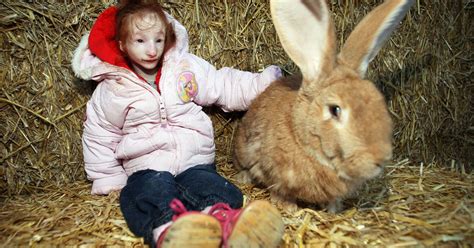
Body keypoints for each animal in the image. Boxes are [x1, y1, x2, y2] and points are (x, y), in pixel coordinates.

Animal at [233, 0, 414, 213]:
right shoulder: (272, 173)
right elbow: (279, 190)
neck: (300, 136)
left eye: (378, 99)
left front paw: (334, 210)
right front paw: (288, 207)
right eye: (335, 109)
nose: (380, 159)